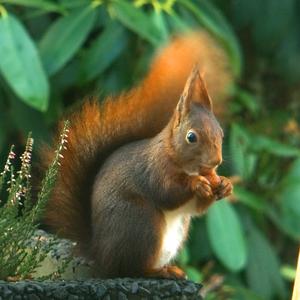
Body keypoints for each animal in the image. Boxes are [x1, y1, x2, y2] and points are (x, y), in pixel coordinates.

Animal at [39, 31, 232, 278]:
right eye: (191, 137)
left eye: (221, 134)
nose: (216, 161)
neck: (180, 160)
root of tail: (100, 254)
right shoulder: (154, 169)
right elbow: (167, 192)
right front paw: (196, 184)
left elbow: (196, 208)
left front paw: (225, 184)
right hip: (141, 223)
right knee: (131, 269)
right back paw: (158, 272)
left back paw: (170, 268)